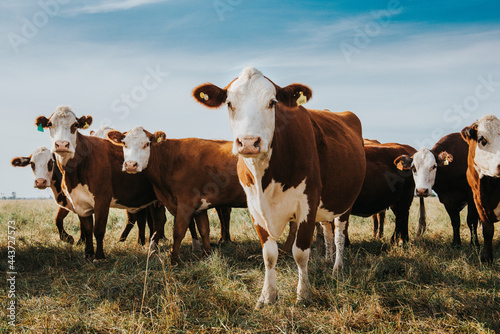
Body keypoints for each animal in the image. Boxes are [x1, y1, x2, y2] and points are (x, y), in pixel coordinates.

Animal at [35, 105, 168, 260]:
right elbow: (87, 229)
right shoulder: (79, 202)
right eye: (50, 124)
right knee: (155, 220)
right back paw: (151, 247)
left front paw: (99, 257)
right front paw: (88, 254)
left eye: (75, 125)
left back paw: (152, 247)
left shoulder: (102, 200)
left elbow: (98, 230)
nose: (62, 144)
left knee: (157, 221)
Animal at [106, 126, 247, 262]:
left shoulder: (186, 202)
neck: (171, 160)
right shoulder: (200, 207)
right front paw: (206, 256)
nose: (130, 165)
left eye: (146, 144)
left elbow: (178, 231)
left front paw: (173, 259)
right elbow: (204, 229)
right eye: (124, 143)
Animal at [193, 66, 366, 306]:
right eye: (229, 103)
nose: (249, 142)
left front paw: (304, 295)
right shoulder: (254, 208)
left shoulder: (308, 203)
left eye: (272, 102)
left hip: (345, 202)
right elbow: (269, 254)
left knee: (340, 233)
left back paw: (337, 268)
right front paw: (267, 296)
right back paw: (327, 259)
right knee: (328, 230)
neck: (265, 178)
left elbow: (300, 252)